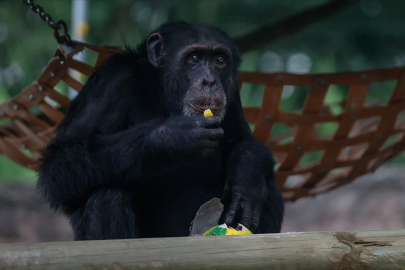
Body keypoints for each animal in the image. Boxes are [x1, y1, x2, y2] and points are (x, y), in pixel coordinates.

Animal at [38, 21, 284, 240]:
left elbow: (245, 142)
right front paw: (172, 138)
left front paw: (246, 174)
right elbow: (60, 161)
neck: (164, 92)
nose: (210, 81)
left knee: (269, 187)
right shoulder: (112, 80)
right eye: (195, 58)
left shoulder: (231, 96)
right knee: (106, 193)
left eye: (220, 60)